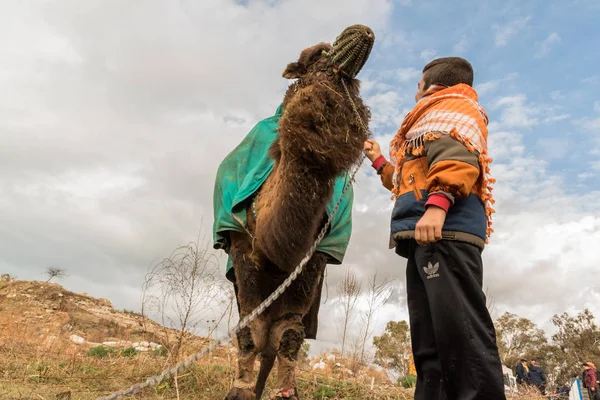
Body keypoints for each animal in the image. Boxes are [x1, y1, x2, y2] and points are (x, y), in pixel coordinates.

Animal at [218, 25, 372, 400]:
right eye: (318, 53)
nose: (362, 32)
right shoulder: (241, 247)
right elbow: (249, 331)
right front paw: (240, 390)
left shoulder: (314, 259)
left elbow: (289, 334)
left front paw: (284, 392)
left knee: (274, 346)